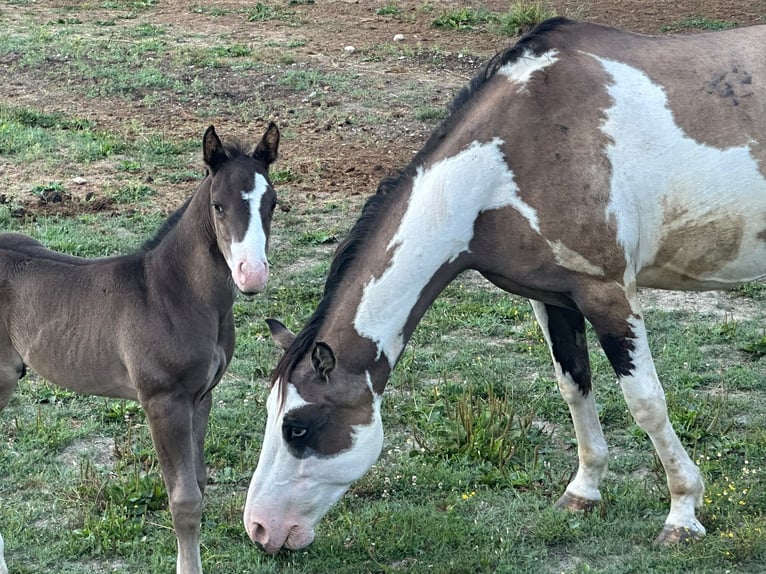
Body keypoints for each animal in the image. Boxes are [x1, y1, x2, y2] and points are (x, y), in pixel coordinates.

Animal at [0, 122, 280, 573]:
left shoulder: (201, 397)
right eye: (218, 206)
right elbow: (184, 500)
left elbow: (199, 482)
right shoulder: (163, 401)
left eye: (272, 203)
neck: (175, 293)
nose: (251, 275)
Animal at [242, 17, 766, 554]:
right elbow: (573, 386)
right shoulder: (554, 299)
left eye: (298, 427)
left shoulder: (609, 295)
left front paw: (683, 512)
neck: (513, 156)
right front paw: (582, 492)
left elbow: (647, 405)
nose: (259, 529)